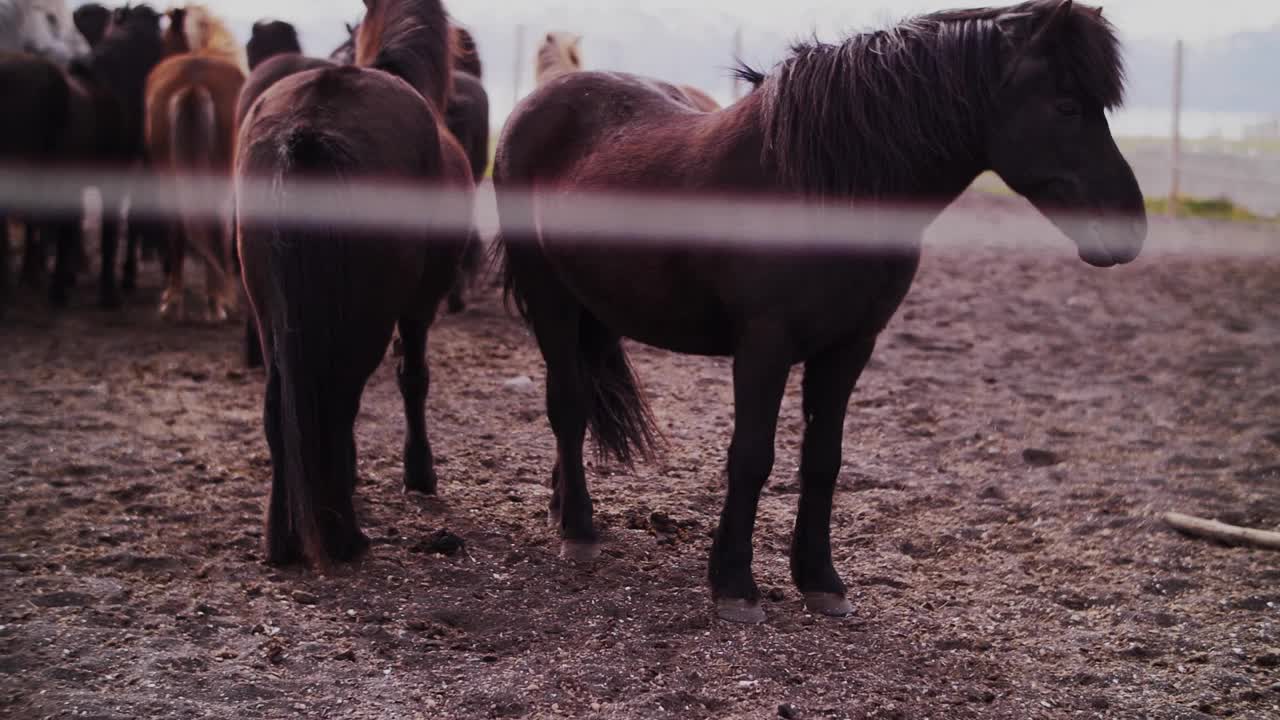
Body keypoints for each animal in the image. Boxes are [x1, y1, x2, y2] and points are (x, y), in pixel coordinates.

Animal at [238, 0, 473, 563]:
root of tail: (308, 127)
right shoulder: (420, 304)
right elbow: (413, 377)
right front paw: (419, 473)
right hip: (368, 313)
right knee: (340, 397)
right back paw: (343, 535)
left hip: (269, 310)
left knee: (280, 407)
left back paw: (284, 538)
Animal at [494, 0, 1146, 622]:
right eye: (1067, 105)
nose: (1131, 229)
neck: (820, 186)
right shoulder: (764, 345)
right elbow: (752, 456)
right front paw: (734, 586)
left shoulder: (850, 346)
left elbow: (823, 460)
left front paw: (820, 581)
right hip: (550, 298)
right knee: (568, 403)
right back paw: (578, 529)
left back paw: (561, 506)